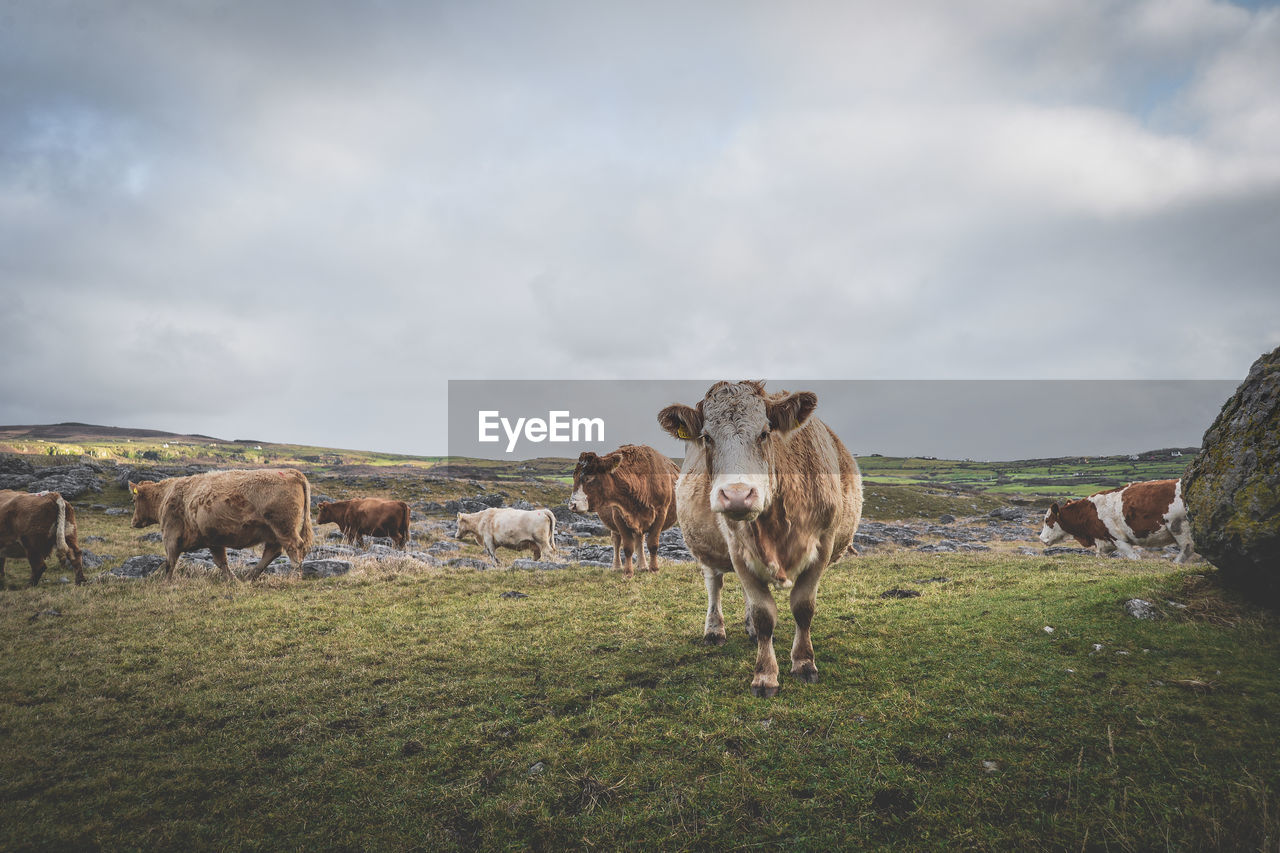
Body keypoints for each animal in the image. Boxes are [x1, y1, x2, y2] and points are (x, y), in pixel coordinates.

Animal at [128, 466, 314, 578]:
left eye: (134, 500)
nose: (133, 522)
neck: (166, 495)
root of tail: (291, 472)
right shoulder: (213, 540)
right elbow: (221, 562)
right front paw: (232, 580)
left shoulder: (171, 535)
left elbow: (170, 562)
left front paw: (166, 582)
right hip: (273, 532)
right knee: (272, 551)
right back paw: (249, 577)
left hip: (284, 527)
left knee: (294, 547)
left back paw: (294, 577)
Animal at [570, 440, 680, 573]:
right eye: (574, 477)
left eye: (588, 477)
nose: (572, 505)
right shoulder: (619, 515)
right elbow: (627, 547)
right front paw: (628, 572)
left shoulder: (661, 513)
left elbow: (652, 544)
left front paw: (654, 569)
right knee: (617, 541)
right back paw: (617, 566)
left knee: (639, 539)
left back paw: (643, 566)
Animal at [660, 381, 860, 696]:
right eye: (707, 437)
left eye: (765, 433)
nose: (737, 495)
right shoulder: (736, 547)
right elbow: (764, 613)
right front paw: (765, 676)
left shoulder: (824, 544)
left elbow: (803, 608)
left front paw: (804, 663)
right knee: (714, 583)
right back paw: (714, 630)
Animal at [1034, 473, 1192, 560]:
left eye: (1047, 520)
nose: (1041, 538)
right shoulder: (1103, 544)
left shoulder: (1118, 539)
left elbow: (1135, 558)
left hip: (1179, 527)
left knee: (1187, 549)